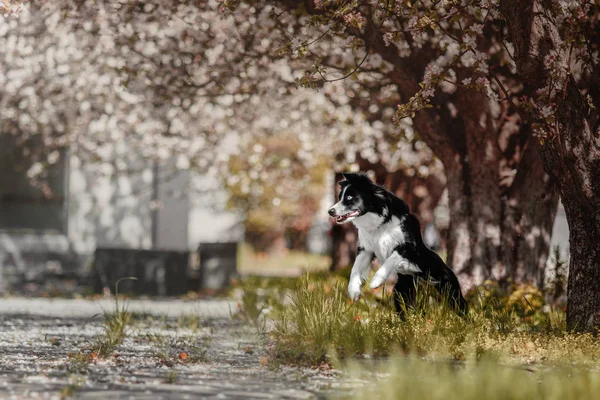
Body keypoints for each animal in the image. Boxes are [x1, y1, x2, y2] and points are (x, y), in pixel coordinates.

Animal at [328, 172, 468, 316]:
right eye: (340, 197)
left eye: (349, 198)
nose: (330, 211)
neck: (379, 222)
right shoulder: (366, 249)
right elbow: (355, 268)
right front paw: (353, 291)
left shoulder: (409, 245)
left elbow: (391, 258)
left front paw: (376, 281)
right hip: (401, 292)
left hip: (448, 287)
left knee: (461, 306)